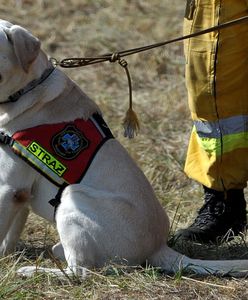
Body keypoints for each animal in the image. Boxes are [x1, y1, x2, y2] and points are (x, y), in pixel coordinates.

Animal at [0, 19, 248, 278]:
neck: (28, 90)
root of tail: (158, 247)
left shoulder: (8, 187)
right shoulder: (21, 193)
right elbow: (9, 235)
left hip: (71, 197)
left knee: (82, 271)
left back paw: (34, 271)